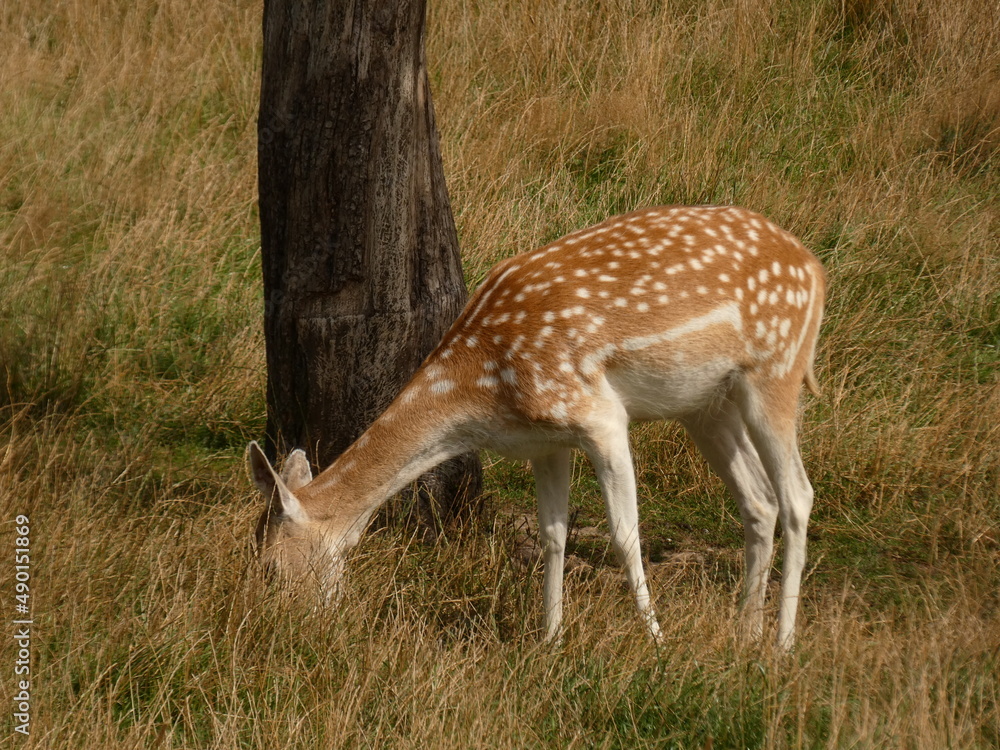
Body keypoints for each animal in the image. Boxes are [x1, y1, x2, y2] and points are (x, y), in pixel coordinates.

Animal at [248, 205, 826, 649]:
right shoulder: (546, 441)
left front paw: (656, 642)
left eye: (273, 568)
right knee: (759, 500)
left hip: (776, 367)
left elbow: (624, 535)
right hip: (706, 405)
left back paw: (782, 644)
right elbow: (553, 535)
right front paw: (549, 640)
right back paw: (745, 633)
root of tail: (815, 268)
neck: (483, 392)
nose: (274, 629)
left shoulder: (599, 416)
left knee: (797, 494)